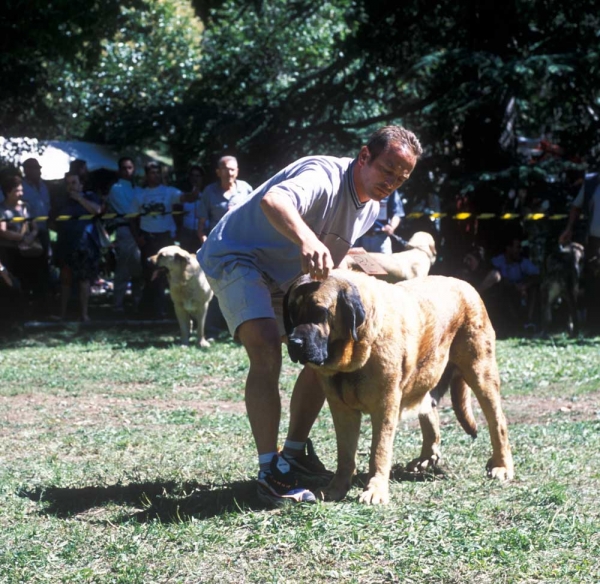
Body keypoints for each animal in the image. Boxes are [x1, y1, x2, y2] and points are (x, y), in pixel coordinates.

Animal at [284, 270, 512, 502]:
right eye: (291, 313)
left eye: (319, 312)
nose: (294, 342)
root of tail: (466, 285)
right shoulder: (341, 409)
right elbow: (345, 454)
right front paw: (336, 489)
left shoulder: (385, 405)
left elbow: (379, 450)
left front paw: (375, 491)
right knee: (429, 410)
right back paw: (426, 458)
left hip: (480, 372)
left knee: (497, 422)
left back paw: (502, 466)